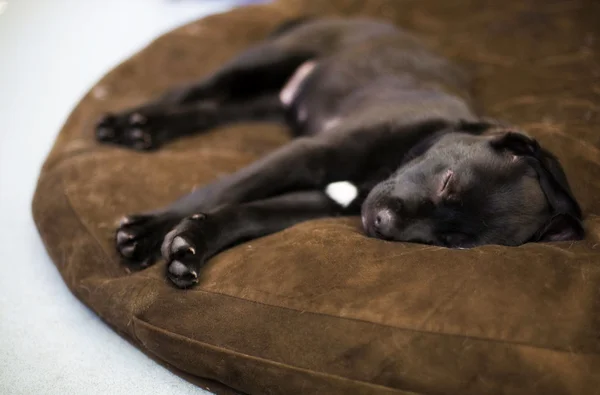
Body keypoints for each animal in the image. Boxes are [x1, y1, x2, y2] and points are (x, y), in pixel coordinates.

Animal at [96, 17, 584, 290]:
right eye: (448, 182)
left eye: (454, 243)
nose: (382, 224)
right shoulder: (304, 154)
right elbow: (224, 190)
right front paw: (146, 233)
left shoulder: (319, 200)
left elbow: (243, 215)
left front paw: (190, 246)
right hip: (265, 61)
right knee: (190, 90)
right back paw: (128, 123)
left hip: (268, 101)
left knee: (208, 110)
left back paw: (148, 130)